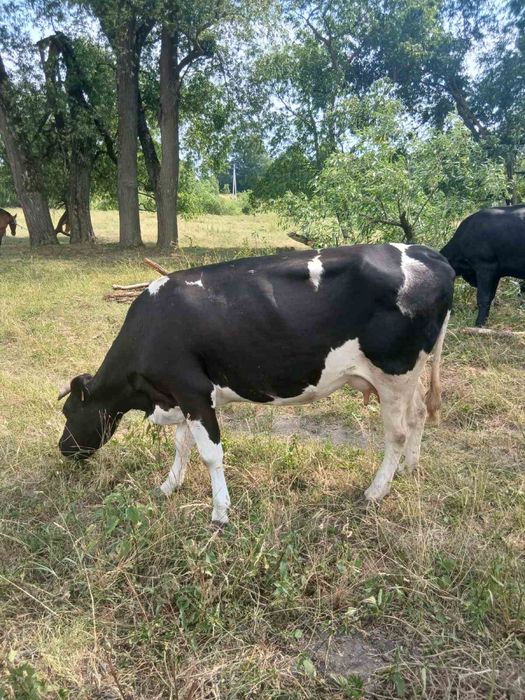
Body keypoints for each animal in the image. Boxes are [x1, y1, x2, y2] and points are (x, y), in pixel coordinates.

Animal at [58, 244, 454, 524]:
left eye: (68, 411)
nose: (63, 448)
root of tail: (430, 255)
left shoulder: (192, 391)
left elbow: (210, 454)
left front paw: (220, 512)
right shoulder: (181, 395)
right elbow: (182, 444)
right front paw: (169, 486)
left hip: (393, 373)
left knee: (397, 433)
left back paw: (376, 491)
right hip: (410, 374)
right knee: (418, 415)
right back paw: (409, 469)